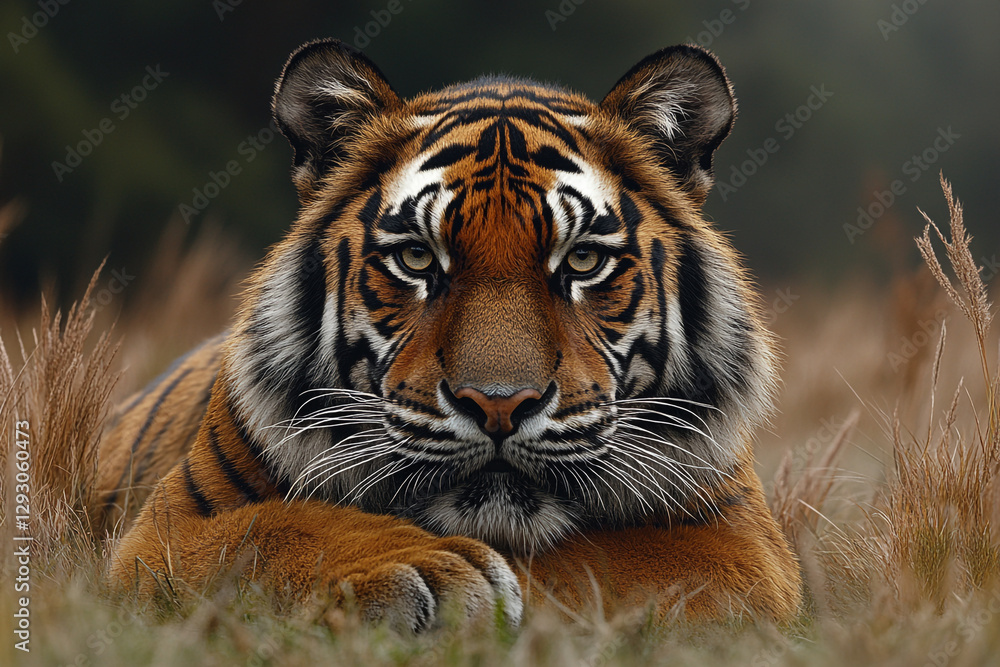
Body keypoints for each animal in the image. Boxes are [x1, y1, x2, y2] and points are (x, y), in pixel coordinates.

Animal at [98, 39, 802, 631]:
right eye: (416, 259)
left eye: (581, 261)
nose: (499, 405)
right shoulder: (166, 529)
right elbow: (271, 530)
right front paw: (423, 569)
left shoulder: (741, 544)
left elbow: (592, 562)